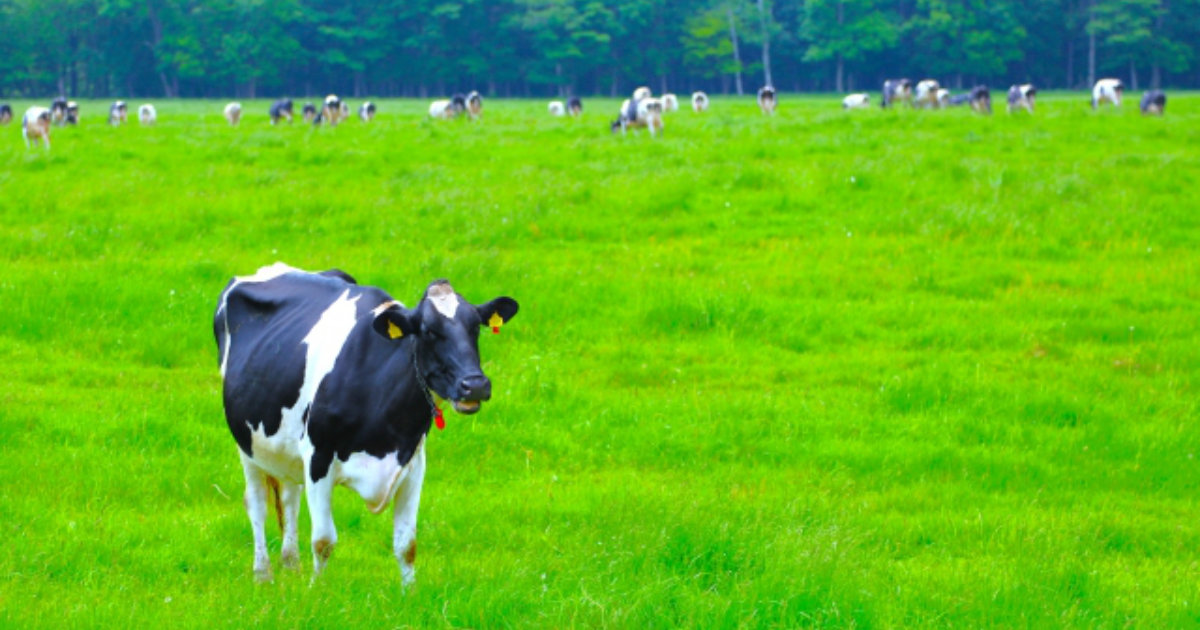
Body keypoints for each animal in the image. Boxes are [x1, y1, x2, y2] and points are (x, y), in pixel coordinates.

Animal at [216, 262, 516, 583]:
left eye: (475, 327)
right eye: (428, 331)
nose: (475, 385)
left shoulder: (413, 462)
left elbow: (407, 545)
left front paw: (410, 592)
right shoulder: (318, 456)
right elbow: (323, 541)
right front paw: (317, 590)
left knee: (289, 497)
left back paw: (291, 565)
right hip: (247, 444)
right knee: (258, 504)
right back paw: (263, 574)